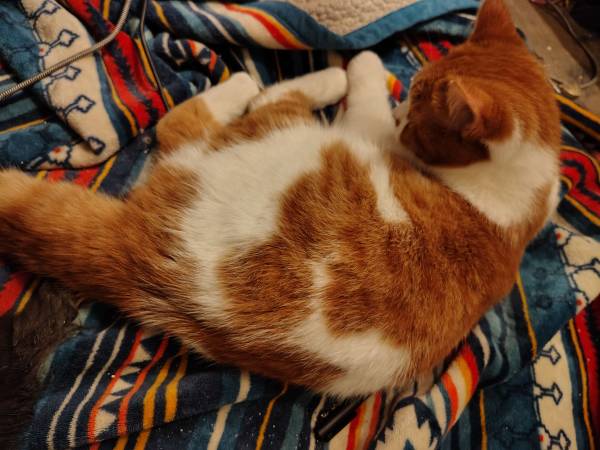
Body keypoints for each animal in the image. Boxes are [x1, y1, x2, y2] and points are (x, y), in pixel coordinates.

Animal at [0, 0, 560, 398]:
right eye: (415, 88)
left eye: (418, 107)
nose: (403, 110)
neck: (510, 203)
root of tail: (138, 253)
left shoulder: (370, 134)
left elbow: (365, 96)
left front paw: (363, 64)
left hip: (286, 141)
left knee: (192, 118)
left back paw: (284, 77)